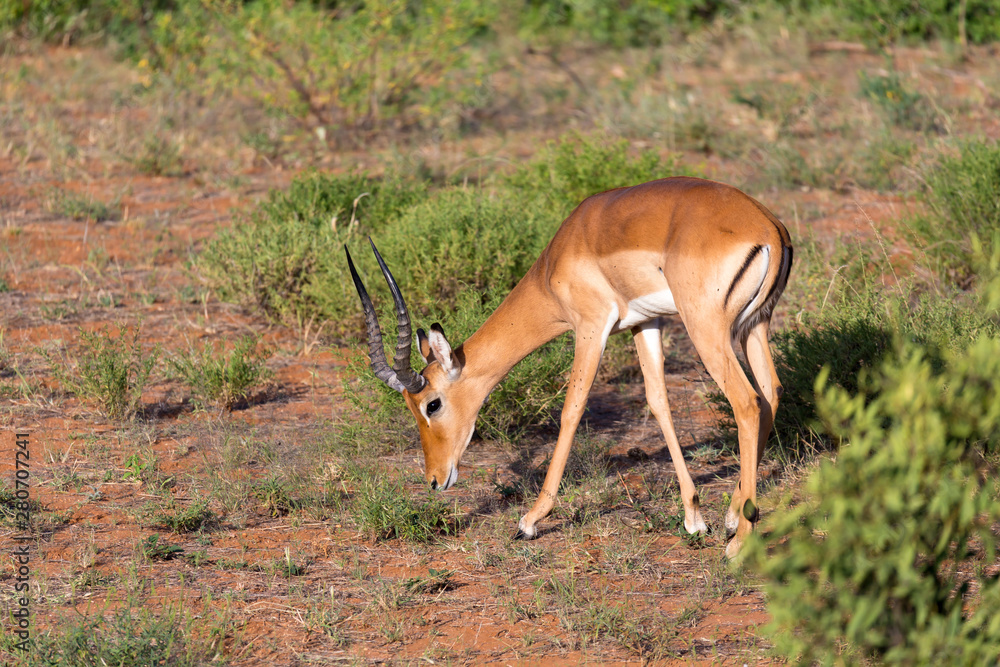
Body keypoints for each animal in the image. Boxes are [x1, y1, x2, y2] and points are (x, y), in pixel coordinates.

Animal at [345, 176, 792, 557]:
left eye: (432, 404)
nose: (435, 480)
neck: (559, 257)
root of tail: (768, 228)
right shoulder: (645, 323)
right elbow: (658, 401)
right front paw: (694, 518)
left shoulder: (590, 328)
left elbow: (572, 410)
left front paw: (529, 521)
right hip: (754, 325)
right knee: (770, 392)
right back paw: (734, 516)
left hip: (706, 328)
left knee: (747, 402)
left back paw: (739, 543)